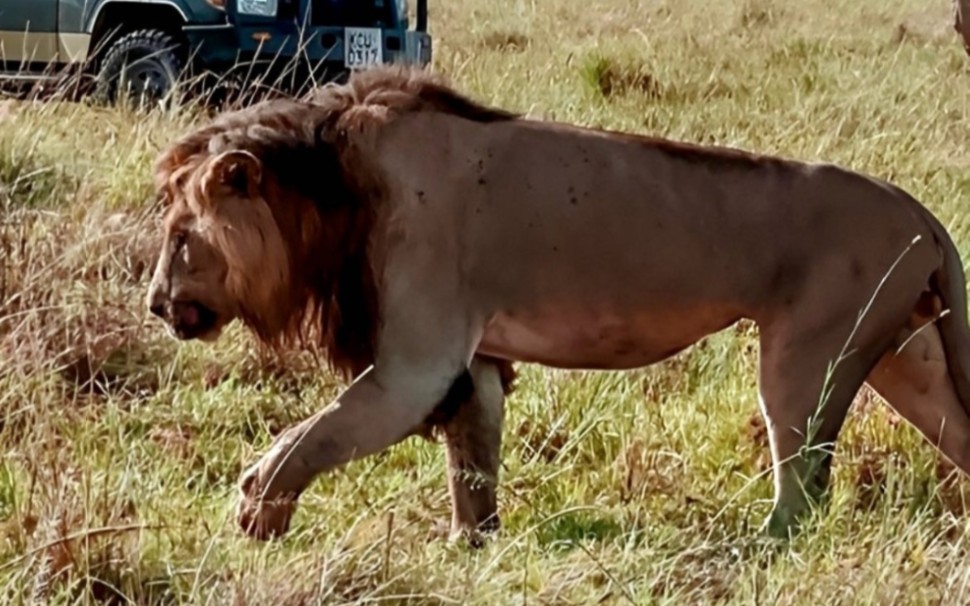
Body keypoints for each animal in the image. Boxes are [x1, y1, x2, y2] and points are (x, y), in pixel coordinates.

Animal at [146, 64, 970, 544]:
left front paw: (257, 509)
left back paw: (758, 544)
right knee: (953, 434)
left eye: (181, 235)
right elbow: (472, 458)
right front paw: (471, 546)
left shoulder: (415, 361)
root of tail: (919, 211)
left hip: (806, 357)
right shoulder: (470, 360)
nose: (154, 305)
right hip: (909, 359)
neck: (331, 188)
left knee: (803, 479)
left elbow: (312, 435)